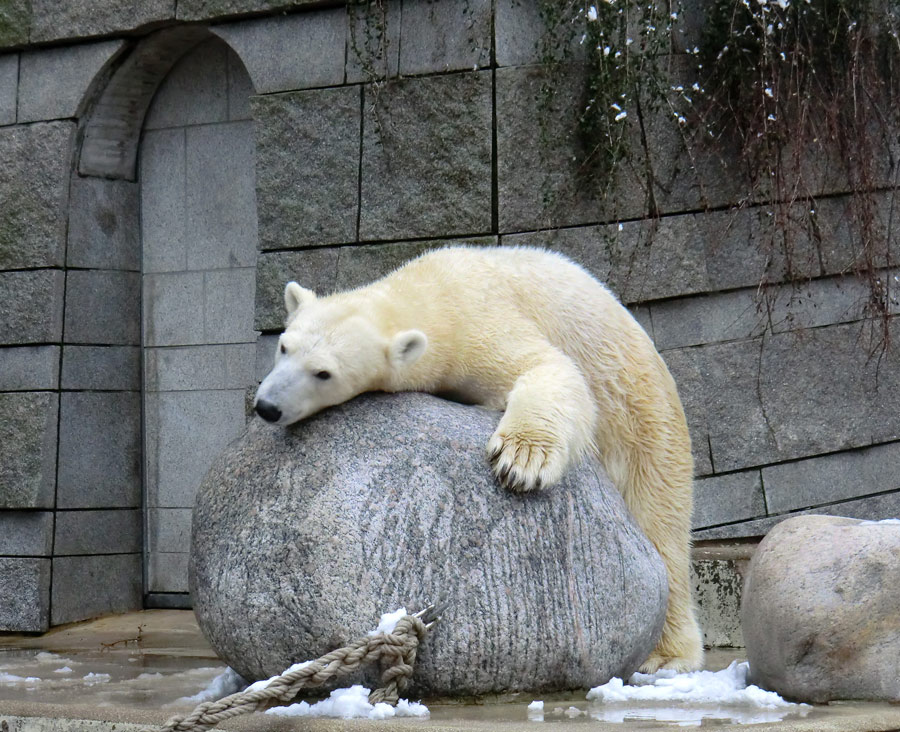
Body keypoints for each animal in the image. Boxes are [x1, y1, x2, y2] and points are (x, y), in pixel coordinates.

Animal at [253, 246, 704, 676]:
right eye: (283, 346)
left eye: (323, 373)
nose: (266, 407)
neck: (434, 288)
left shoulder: (482, 324)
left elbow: (550, 369)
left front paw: (520, 461)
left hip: (641, 413)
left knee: (661, 521)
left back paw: (667, 655)